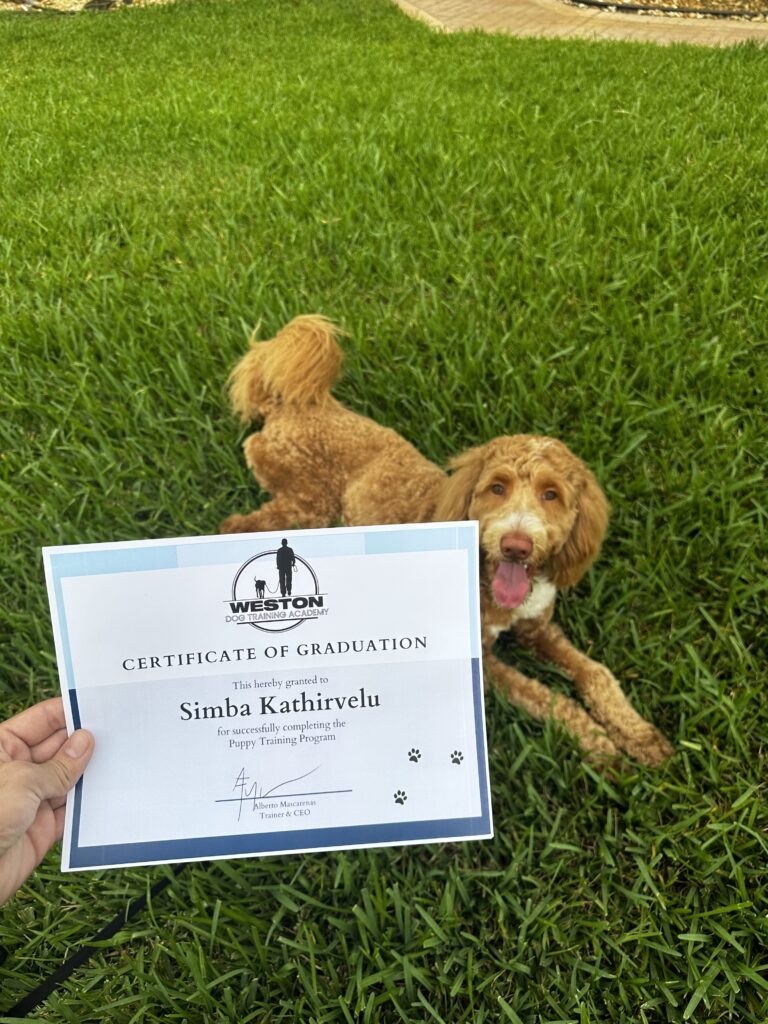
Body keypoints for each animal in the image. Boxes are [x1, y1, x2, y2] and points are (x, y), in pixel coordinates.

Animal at [221, 315, 671, 765]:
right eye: (497, 487)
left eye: (551, 494)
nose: (516, 545)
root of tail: (285, 407)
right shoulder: (485, 661)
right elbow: (548, 699)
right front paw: (599, 745)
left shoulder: (538, 629)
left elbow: (596, 673)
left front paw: (639, 736)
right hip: (308, 505)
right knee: (237, 526)